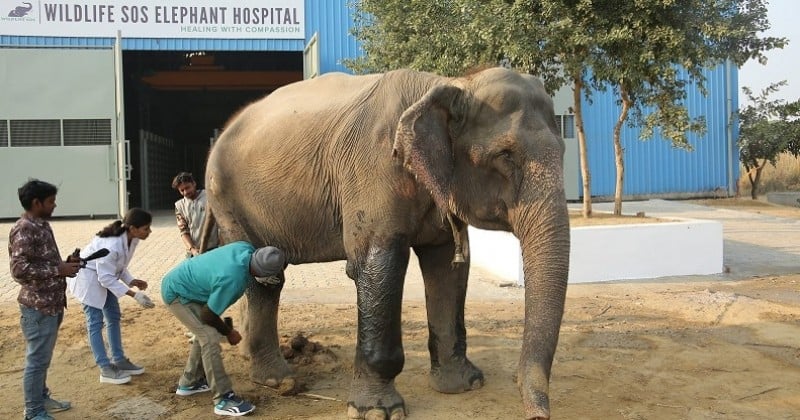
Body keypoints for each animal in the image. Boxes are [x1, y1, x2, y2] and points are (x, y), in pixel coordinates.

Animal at [203, 67, 572, 418]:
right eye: (505, 155)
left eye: (563, 150)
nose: (537, 414)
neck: (448, 83)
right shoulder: (372, 170)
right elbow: (378, 262)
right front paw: (378, 410)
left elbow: (447, 268)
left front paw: (463, 385)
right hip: (226, 198)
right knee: (264, 277)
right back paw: (279, 381)